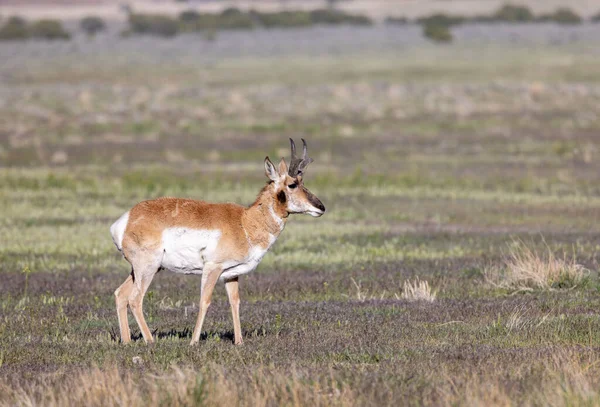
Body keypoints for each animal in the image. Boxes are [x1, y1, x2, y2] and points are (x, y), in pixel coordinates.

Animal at [110, 139, 326, 344]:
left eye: (302, 181)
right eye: (292, 184)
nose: (321, 207)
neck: (244, 222)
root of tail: (127, 218)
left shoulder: (231, 274)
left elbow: (235, 302)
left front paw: (239, 342)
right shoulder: (212, 268)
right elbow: (204, 301)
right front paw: (194, 342)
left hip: (145, 269)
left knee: (121, 294)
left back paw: (127, 341)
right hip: (147, 267)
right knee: (135, 299)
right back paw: (150, 341)